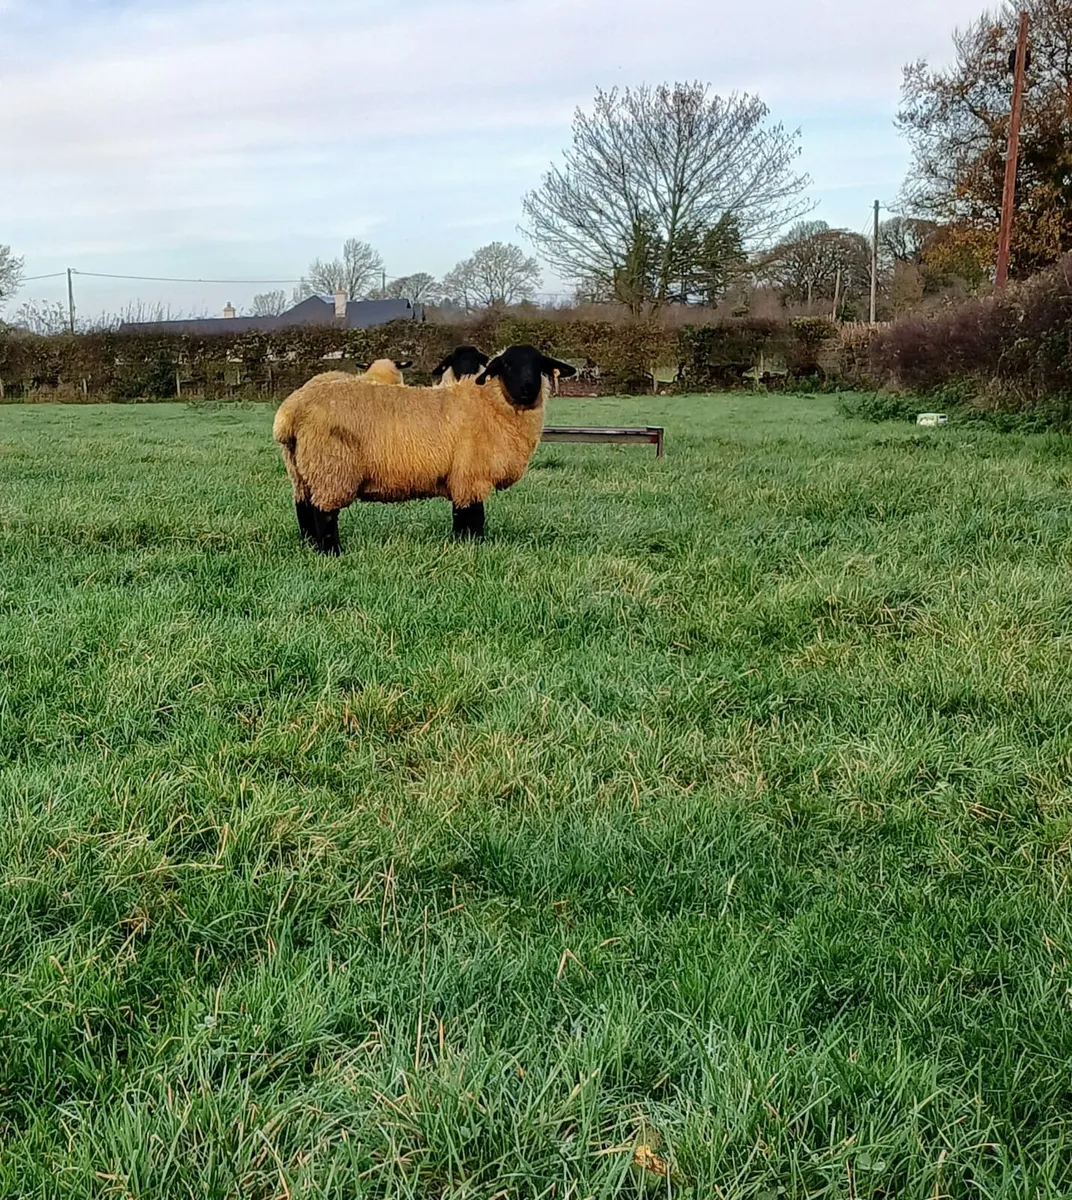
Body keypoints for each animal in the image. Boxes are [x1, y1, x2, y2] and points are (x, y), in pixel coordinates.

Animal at [272, 344, 577, 554]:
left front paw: (459, 544)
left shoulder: (459, 477)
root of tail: (291, 411)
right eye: (506, 366)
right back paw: (332, 552)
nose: (528, 388)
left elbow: (460, 516)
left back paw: (310, 546)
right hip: (331, 468)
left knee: (303, 508)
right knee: (323, 514)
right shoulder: (470, 475)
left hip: (301, 469)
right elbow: (474, 517)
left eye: (539, 365)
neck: (489, 404)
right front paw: (475, 546)